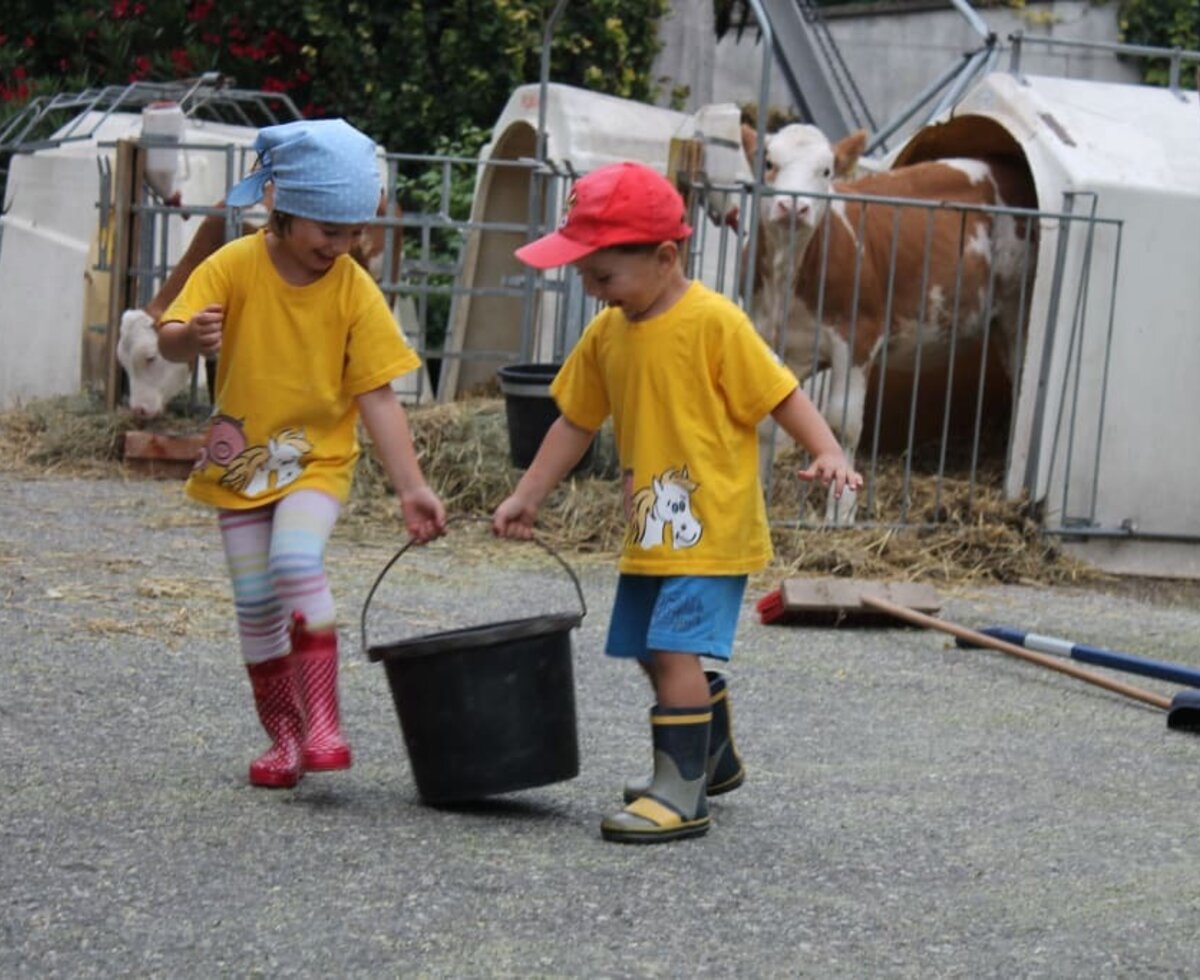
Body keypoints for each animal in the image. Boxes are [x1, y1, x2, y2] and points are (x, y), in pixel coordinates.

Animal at [753, 124, 1036, 520]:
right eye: (768, 162)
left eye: (826, 171)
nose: (793, 206)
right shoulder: (768, 336)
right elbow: (767, 421)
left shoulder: (857, 339)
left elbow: (843, 425)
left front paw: (840, 513)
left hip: (1017, 309)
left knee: (1022, 384)